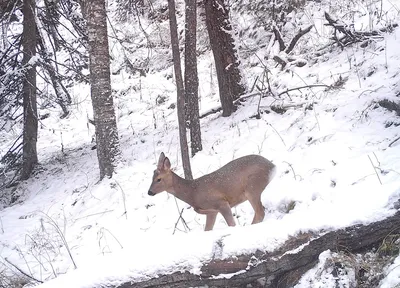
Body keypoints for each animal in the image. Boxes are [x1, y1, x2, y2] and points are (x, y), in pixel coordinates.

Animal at [147, 152, 276, 231]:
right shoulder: (211, 212)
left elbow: (232, 224)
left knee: (260, 212)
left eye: (159, 179)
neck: (193, 193)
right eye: (152, 177)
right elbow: (207, 229)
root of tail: (273, 166)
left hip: (252, 187)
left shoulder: (221, 203)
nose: (149, 192)